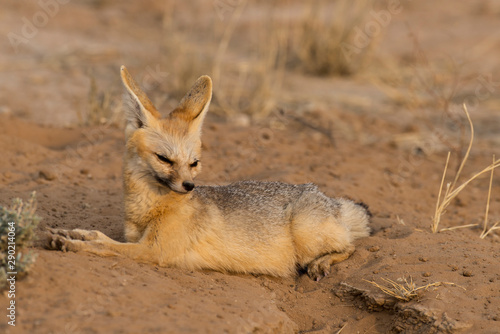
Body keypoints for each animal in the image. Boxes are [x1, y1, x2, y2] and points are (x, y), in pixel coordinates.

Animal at [47, 65, 372, 280]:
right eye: (164, 159)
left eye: (194, 162)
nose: (189, 186)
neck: (147, 209)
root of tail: (329, 198)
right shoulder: (136, 240)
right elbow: (100, 235)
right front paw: (72, 232)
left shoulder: (153, 252)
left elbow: (105, 247)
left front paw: (73, 244)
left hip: (306, 238)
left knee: (351, 247)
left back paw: (323, 263)